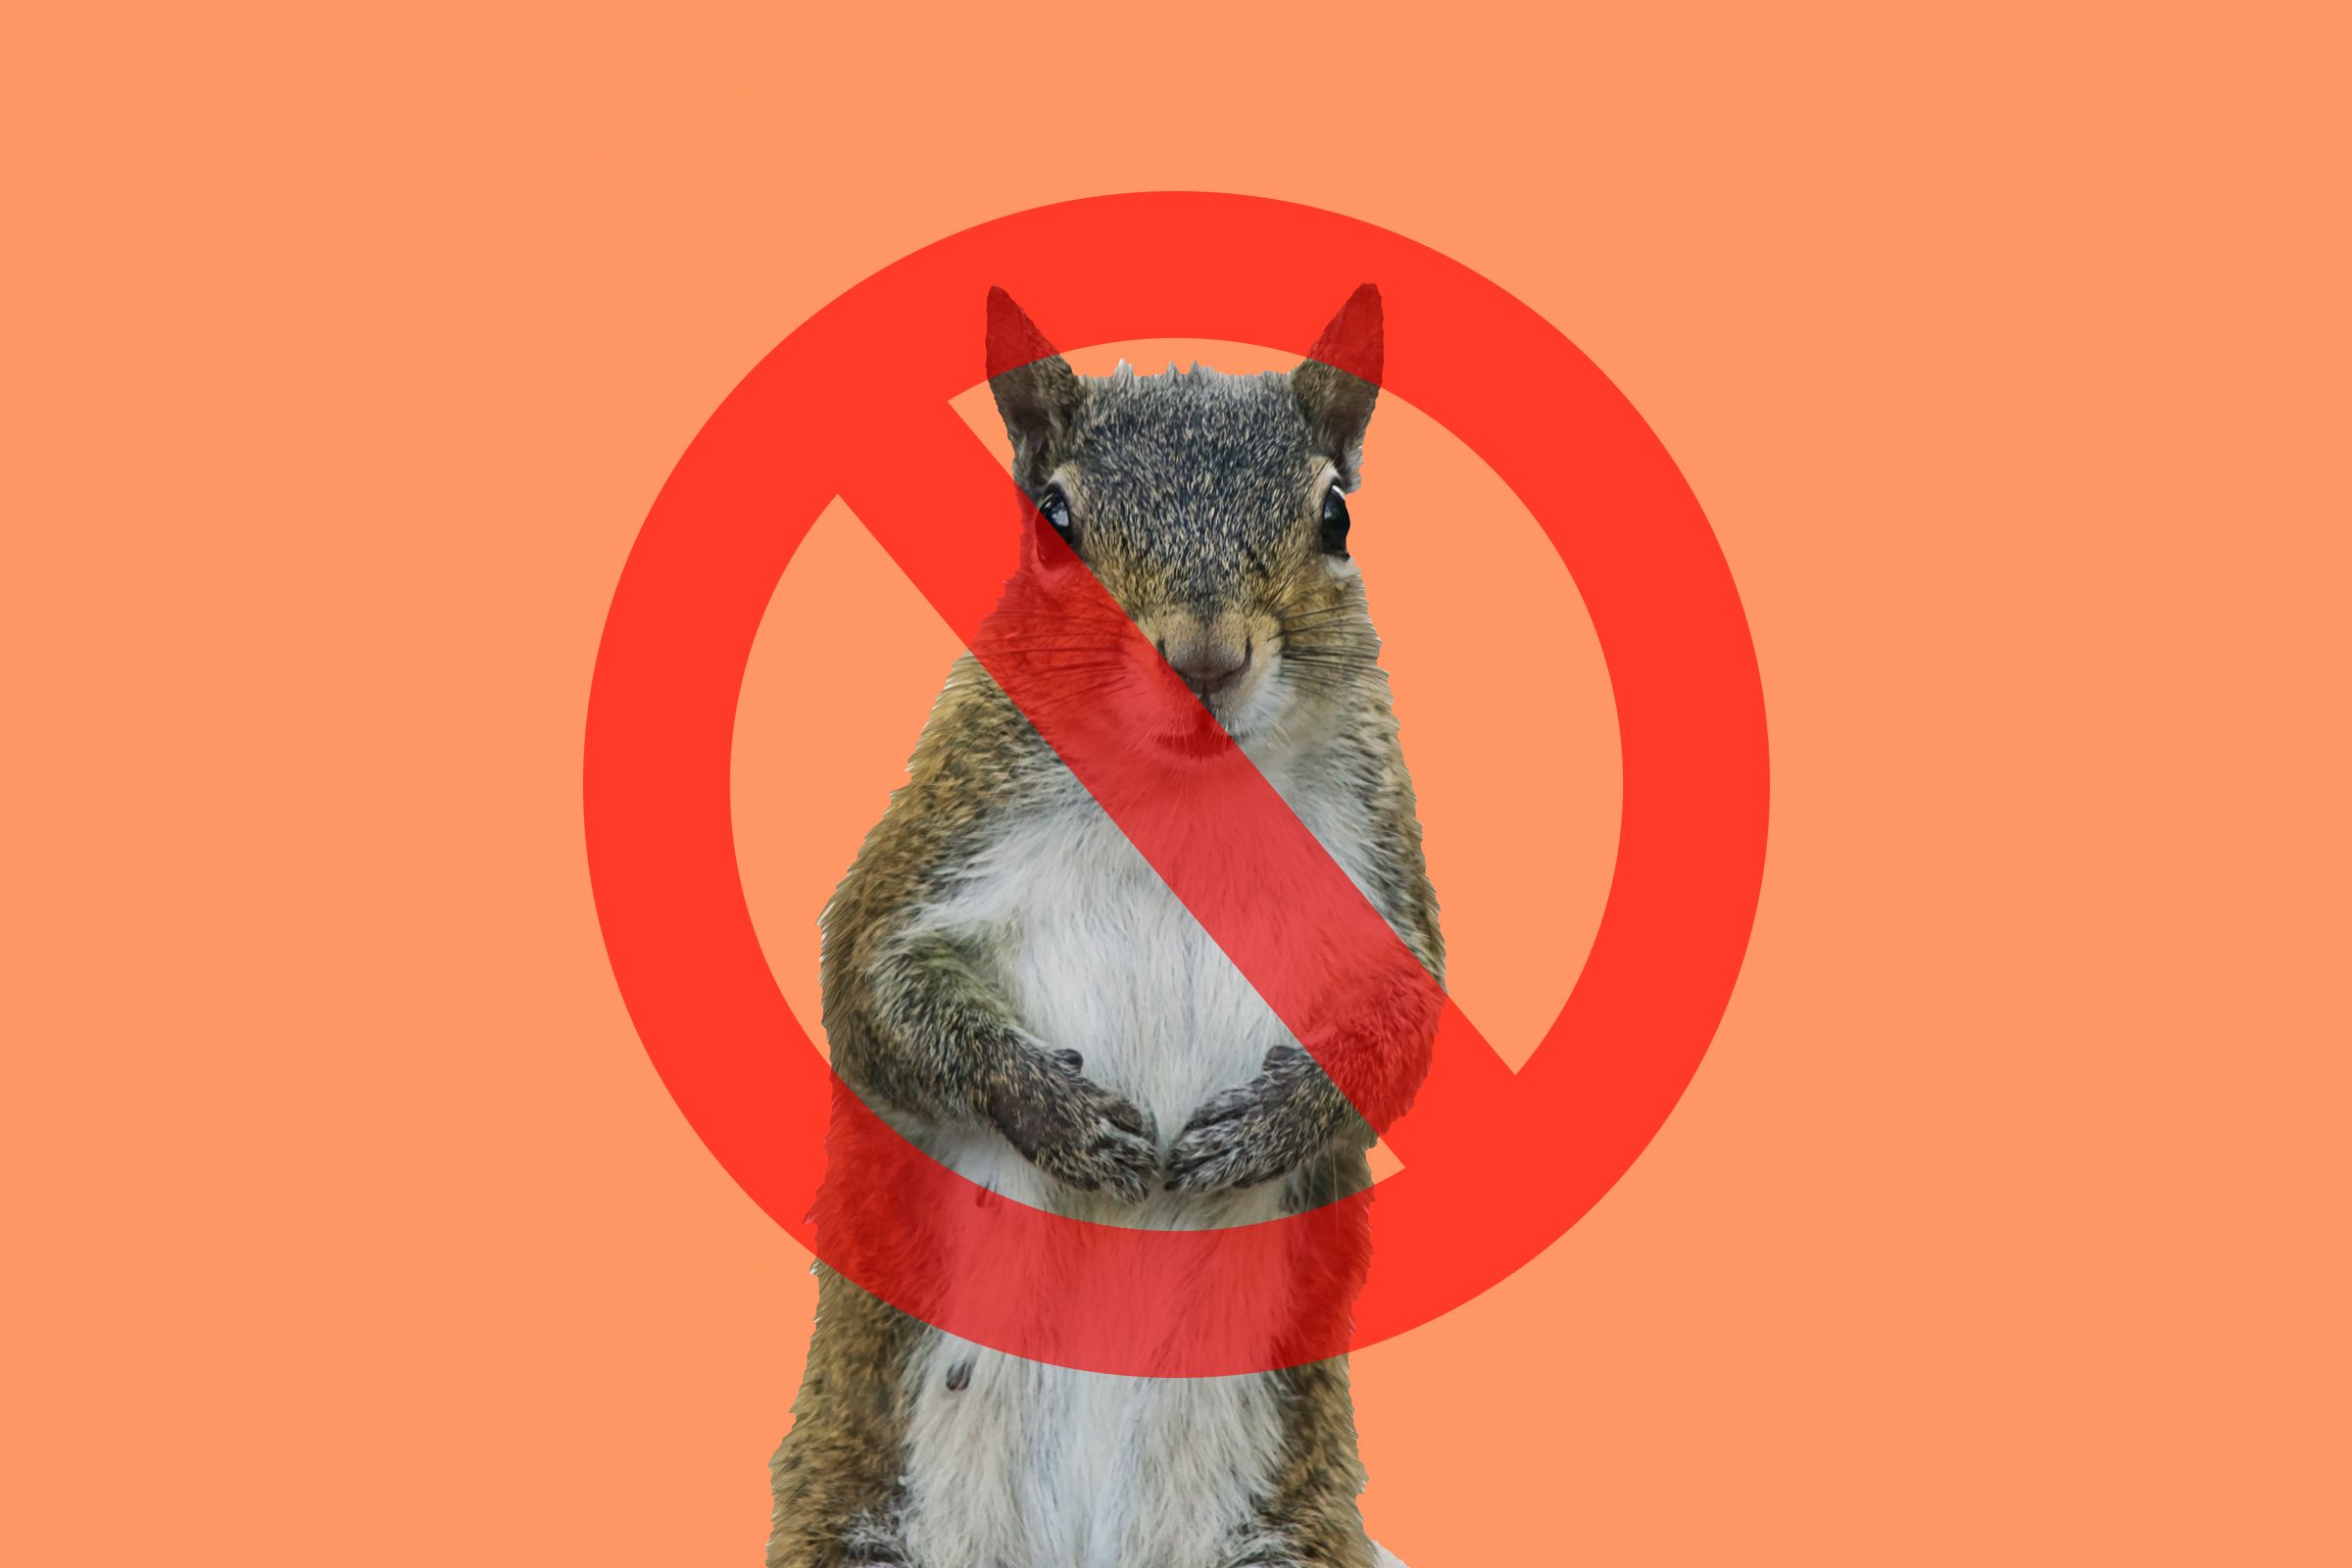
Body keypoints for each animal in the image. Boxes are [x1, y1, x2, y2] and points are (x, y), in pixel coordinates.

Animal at [765, 284, 1443, 1568]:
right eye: (1055, 520)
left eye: (1334, 516)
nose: (1205, 657)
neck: (1174, 797)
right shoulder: (938, 846)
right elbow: (874, 993)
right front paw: (1060, 1117)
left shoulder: (1377, 870)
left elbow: (1402, 1033)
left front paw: (1263, 1129)